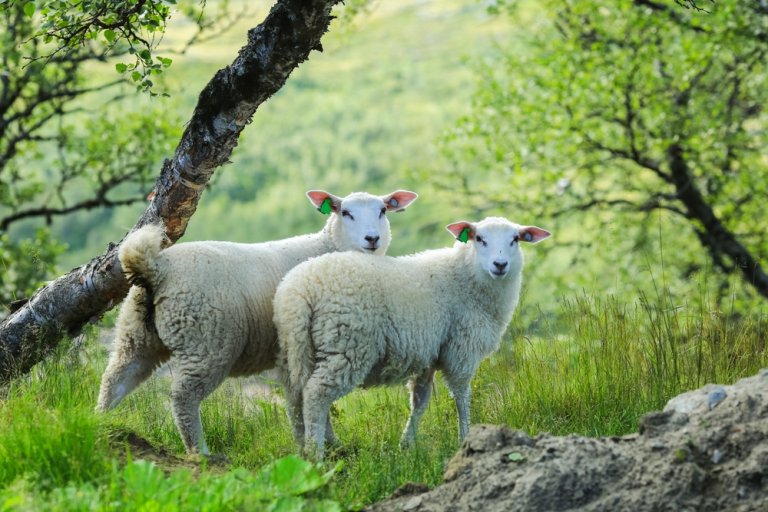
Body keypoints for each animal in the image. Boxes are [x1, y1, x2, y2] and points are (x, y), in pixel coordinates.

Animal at [98, 190, 420, 454]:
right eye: (345, 212)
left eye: (383, 210)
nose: (372, 239)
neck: (328, 246)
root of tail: (156, 268)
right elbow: (308, 399)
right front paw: (323, 445)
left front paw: (328, 444)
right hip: (206, 343)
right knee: (183, 398)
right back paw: (200, 452)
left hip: (136, 335)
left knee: (115, 381)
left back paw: (99, 425)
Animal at [272, 217, 548, 460]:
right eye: (479, 238)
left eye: (515, 239)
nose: (500, 264)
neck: (465, 276)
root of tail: (301, 291)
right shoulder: (461, 349)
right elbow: (462, 396)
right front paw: (465, 436)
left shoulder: (429, 355)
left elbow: (420, 401)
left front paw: (406, 443)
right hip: (347, 346)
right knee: (316, 395)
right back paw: (316, 453)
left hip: (296, 348)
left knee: (296, 398)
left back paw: (308, 448)